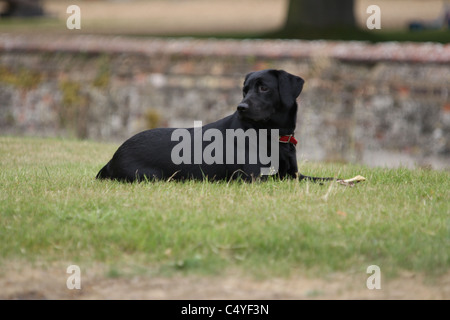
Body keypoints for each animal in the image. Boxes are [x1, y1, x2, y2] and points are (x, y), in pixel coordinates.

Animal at [96, 70, 332, 182]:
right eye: (245, 90)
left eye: (264, 88)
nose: (241, 107)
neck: (273, 136)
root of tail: (112, 158)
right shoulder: (254, 178)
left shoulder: (293, 175)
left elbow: (322, 179)